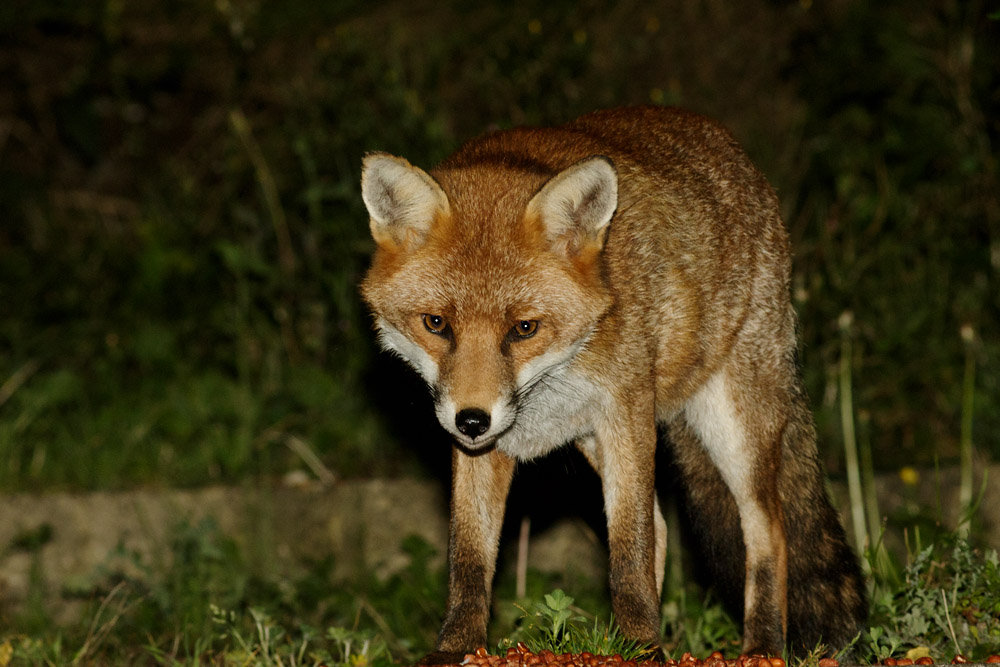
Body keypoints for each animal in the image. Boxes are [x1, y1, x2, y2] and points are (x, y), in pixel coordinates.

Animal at [359, 106, 867, 663]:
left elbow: (630, 549)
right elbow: (468, 559)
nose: (472, 420)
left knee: (766, 528)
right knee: (664, 527)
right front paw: (457, 648)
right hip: (596, 442)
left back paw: (761, 645)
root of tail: (735, 152)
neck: (570, 361)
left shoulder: (626, 413)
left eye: (524, 328)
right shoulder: (484, 449)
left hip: (733, 427)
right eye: (436, 324)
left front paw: (645, 648)